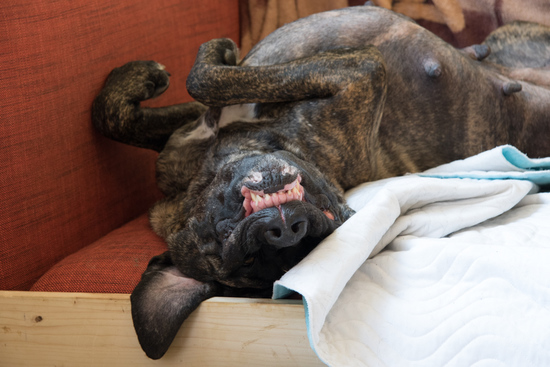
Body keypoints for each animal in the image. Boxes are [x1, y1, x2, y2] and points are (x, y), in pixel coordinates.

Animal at [92, 7, 548, 360]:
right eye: (243, 257)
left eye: (317, 229)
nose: (284, 228)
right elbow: (156, 103)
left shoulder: (356, 73)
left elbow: (186, 87)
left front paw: (174, 67)